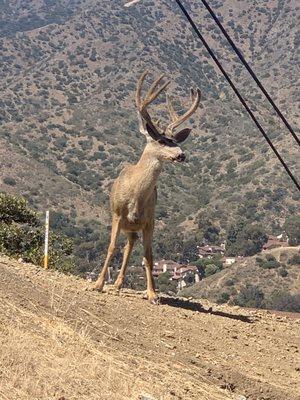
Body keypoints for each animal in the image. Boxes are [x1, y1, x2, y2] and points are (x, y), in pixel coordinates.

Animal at [95, 72, 200, 304]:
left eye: (175, 140)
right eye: (162, 141)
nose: (181, 155)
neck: (136, 194)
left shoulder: (149, 221)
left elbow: (149, 257)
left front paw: (153, 294)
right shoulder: (117, 214)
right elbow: (111, 247)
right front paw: (98, 284)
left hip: (134, 226)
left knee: (131, 244)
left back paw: (119, 283)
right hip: (124, 222)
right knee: (125, 244)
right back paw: (113, 284)